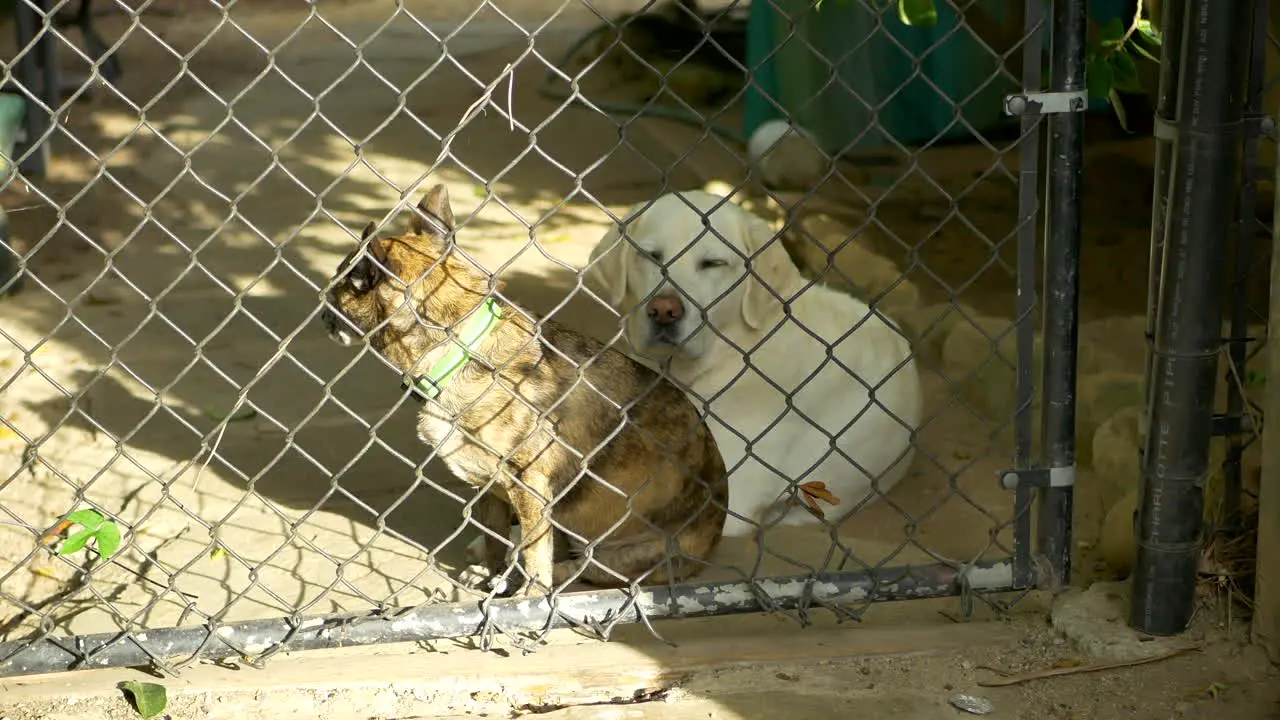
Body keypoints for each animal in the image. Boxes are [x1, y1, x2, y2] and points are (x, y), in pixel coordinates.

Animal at [320, 181, 732, 591]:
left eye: (342, 283)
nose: (322, 309)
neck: (462, 348)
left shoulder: (529, 485)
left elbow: (536, 555)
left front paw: (528, 595)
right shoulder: (489, 490)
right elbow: (495, 539)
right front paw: (492, 573)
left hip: (625, 552)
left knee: (584, 567)